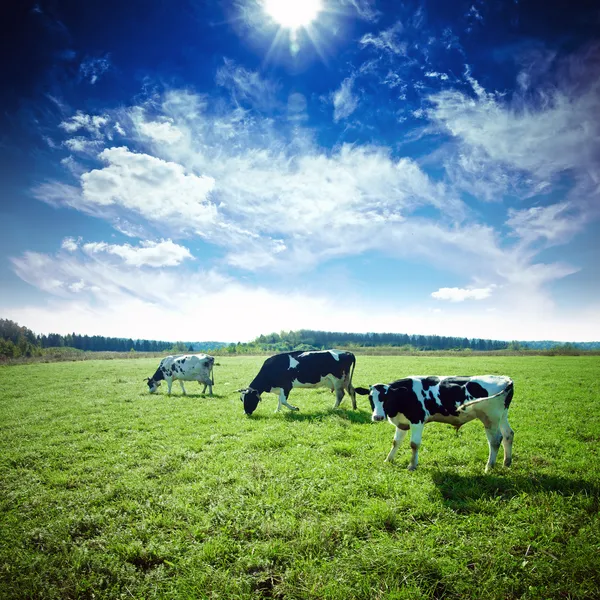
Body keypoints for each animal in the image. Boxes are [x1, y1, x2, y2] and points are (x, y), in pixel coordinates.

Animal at [356, 376, 516, 474]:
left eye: (387, 397)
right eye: (370, 398)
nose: (377, 417)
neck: (405, 395)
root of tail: (505, 379)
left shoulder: (417, 420)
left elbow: (414, 444)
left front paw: (412, 465)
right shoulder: (402, 423)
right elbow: (396, 442)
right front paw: (388, 460)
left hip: (490, 418)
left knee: (495, 441)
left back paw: (489, 467)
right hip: (502, 416)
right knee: (508, 435)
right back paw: (506, 463)